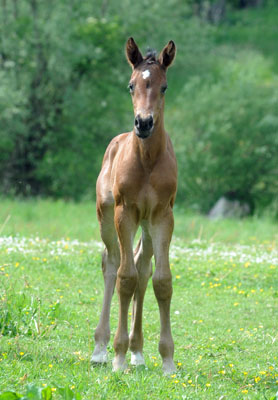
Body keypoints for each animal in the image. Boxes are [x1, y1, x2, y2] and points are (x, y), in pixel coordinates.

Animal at [91, 37, 178, 376]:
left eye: (164, 87)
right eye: (131, 85)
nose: (143, 123)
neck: (147, 161)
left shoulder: (162, 216)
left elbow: (161, 280)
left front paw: (167, 360)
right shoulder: (124, 211)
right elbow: (124, 278)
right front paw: (117, 356)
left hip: (147, 225)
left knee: (143, 267)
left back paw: (138, 352)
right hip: (106, 217)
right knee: (112, 263)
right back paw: (101, 348)